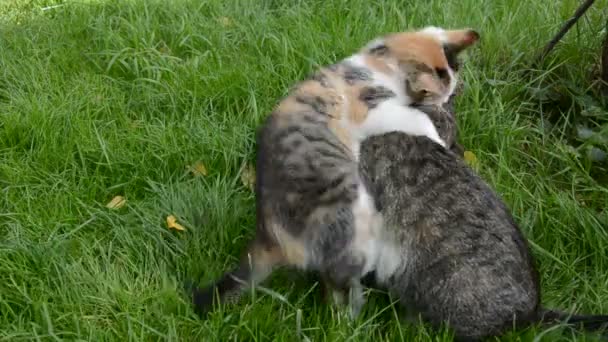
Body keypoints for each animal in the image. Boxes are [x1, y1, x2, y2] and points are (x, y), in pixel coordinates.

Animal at [190, 26, 480, 318]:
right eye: (439, 97)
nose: (445, 105)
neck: (379, 61)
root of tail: (268, 235)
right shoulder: (375, 109)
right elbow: (416, 120)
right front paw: (438, 140)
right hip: (351, 214)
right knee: (340, 279)